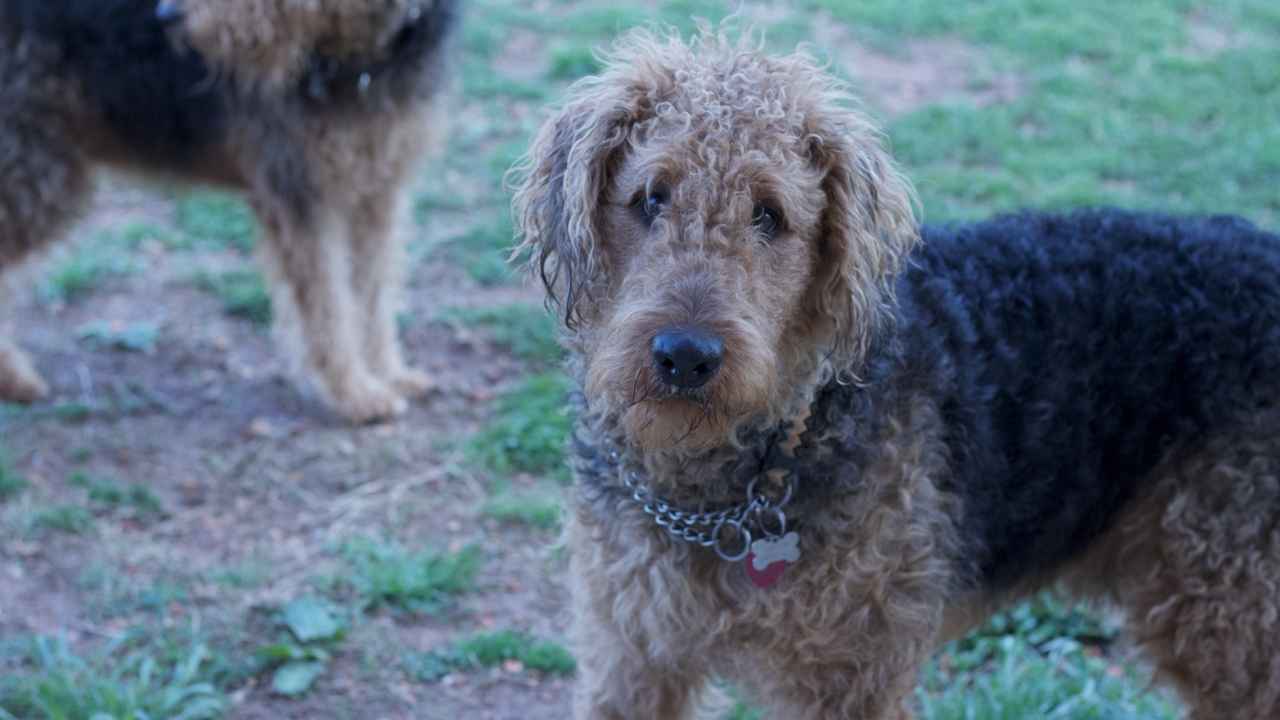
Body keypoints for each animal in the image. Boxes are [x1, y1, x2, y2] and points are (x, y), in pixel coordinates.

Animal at [0, 1, 460, 420]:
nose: (166, 15)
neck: (362, 59)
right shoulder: (301, 196)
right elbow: (328, 309)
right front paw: (353, 394)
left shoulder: (378, 191)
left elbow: (372, 298)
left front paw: (390, 374)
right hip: (39, 176)